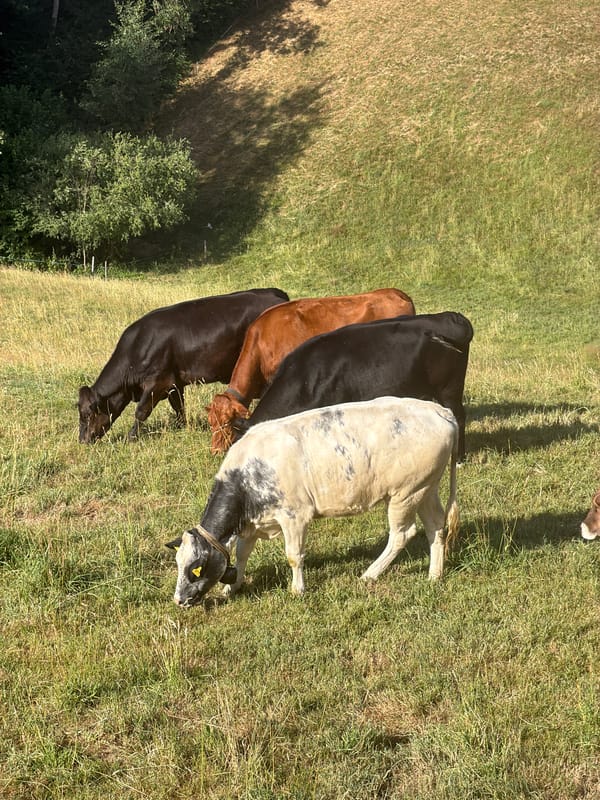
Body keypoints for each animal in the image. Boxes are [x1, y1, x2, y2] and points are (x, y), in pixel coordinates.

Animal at [77, 288, 289, 443]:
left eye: (87, 415)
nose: (82, 440)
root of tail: (276, 295)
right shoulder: (174, 384)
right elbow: (178, 407)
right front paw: (183, 427)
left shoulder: (157, 382)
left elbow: (141, 411)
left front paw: (131, 438)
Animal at [166, 397, 459, 606]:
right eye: (178, 563)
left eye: (195, 568)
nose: (179, 600)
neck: (248, 474)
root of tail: (438, 410)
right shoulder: (252, 524)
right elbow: (241, 554)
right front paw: (231, 587)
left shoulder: (294, 516)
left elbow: (294, 556)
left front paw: (297, 589)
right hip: (425, 488)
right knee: (436, 526)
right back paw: (434, 575)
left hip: (404, 494)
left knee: (402, 534)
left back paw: (370, 573)